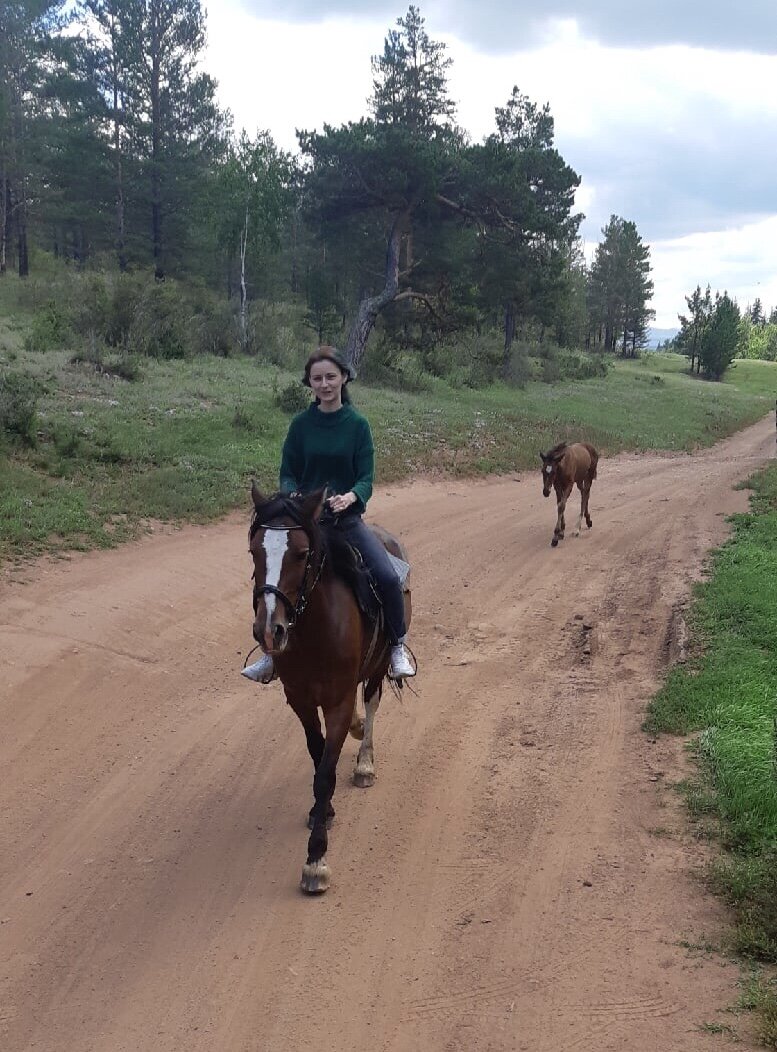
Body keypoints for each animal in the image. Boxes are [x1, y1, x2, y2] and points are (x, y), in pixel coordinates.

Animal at [248, 483, 414, 896]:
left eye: (301, 553)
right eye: (254, 550)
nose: (269, 630)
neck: (315, 630)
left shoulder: (337, 701)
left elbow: (325, 774)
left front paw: (315, 861)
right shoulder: (300, 700)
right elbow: (316, 753)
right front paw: (320, 812)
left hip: (378, 664)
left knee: (371, 702)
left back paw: (365, 762)